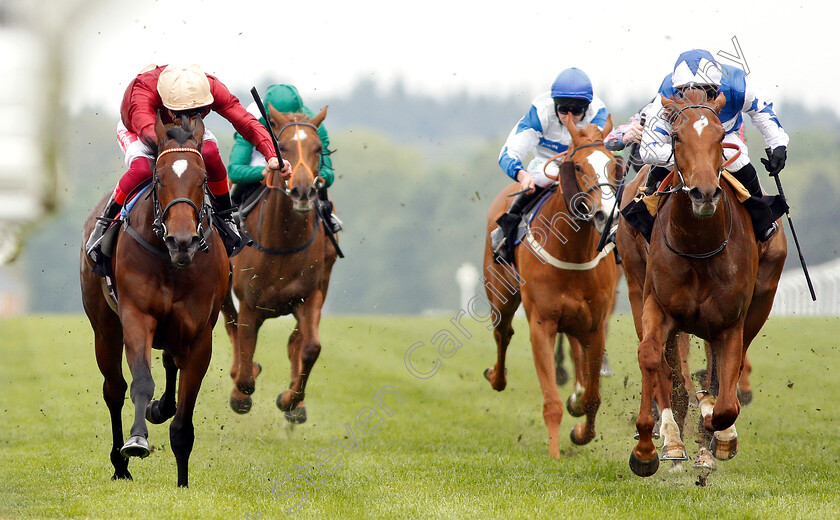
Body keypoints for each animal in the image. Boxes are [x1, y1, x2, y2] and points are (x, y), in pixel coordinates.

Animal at [81, 114, 230, 488]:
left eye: (203, 179)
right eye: (159, 178)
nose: (182, 240)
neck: (171, 263)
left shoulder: (199, 335)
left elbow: (184, 415)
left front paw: (183, 481)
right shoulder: (137, 317)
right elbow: (140, 382)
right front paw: (136, 441)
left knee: (170, 364)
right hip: (105, 328)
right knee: (114, 388)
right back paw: (120, 464)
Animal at [225, 104, 340, 422]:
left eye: (318, 148)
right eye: (284, 147)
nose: (303, 191)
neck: (283, 243)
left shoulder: (308, 297)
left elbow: (310, 347)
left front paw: (291, 401)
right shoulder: (250, 305)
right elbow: (245, 359)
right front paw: (240, 393)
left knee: (296, 342)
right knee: (231, 324)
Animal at [486, 114, 624, 456]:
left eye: (613, 165)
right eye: (578, 166)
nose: (605, 214)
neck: (571, 250)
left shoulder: (595, 325)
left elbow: (593, 396)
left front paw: (581, 432)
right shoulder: (542, 323)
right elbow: (551, 402)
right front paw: (553, 454)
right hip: (500, 296)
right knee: (502, 333)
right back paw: (496, 376)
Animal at [616, 91, 788, 478]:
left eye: (719, 137)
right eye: (676, 137)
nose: (704, 193)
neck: (698, 245)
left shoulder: (730, 322)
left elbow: (725, 402)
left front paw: (715, 435)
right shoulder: (656, 305)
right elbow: (653, 358)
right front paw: (649, 447)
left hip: (760, 299)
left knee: (720, 374)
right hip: (635, 283)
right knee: (671, 369)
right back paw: (673, 439)